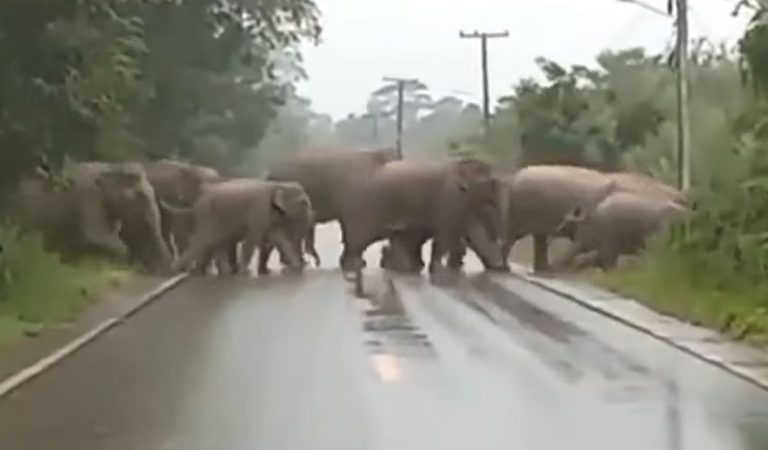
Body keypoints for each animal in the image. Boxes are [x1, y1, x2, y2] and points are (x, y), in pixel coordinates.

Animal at [172, 179, 311, 276]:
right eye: (303, 202)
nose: (306, 262)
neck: (278, 184)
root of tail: (198, 200)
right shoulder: (259, 211)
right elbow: (252, 240)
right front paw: (243, 272)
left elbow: (279, 238)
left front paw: (298, 268)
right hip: (208, 216)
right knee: (203, 241)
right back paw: (179, 271)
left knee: (215, 242)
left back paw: (219, 273)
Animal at [338, 156, 499, 295]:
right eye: (492, 182)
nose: (499, 267)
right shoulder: (449, 200)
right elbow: (446, 235)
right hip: (365, 209)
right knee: (357, 241)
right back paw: (352, 268)